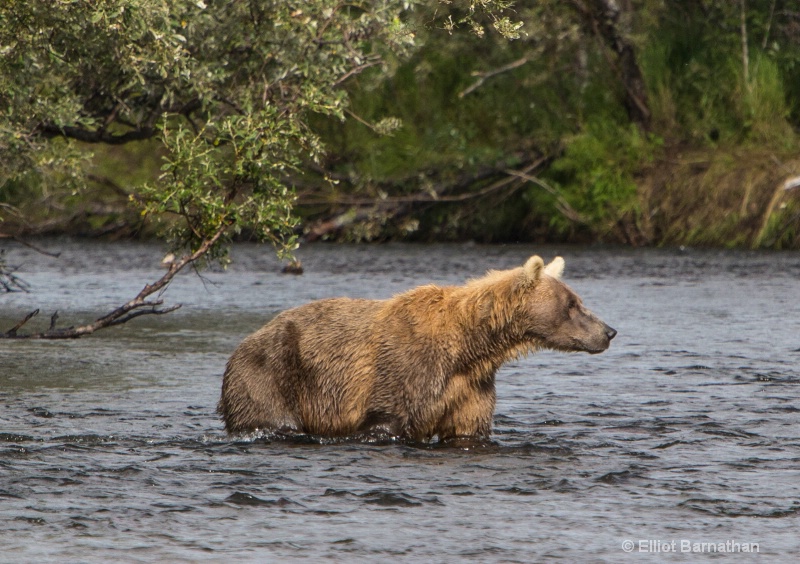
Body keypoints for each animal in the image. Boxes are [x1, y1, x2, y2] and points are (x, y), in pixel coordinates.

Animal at [216, 256, 616, 440]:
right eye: (572, 305)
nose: (609, 331)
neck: (470, 347)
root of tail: (241, 345)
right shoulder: (405, 374)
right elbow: (386, 419)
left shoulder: (470, 386)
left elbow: (468, 426)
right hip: (270, 375)